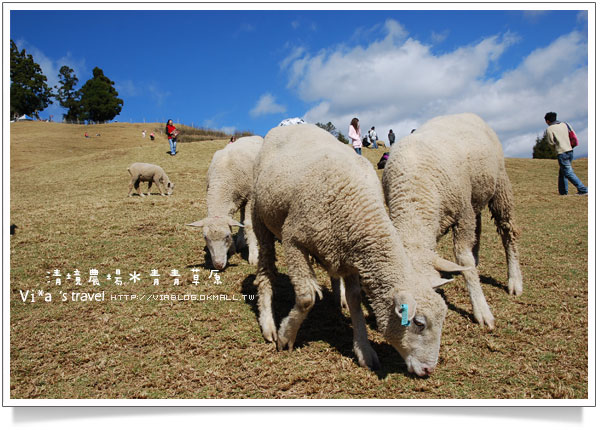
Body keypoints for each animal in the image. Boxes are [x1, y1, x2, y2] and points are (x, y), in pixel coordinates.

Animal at [188, 135, 262, 268]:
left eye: (227, 236)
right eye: (205, 237)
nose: (218, 264)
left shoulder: (250, 196)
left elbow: (249, 225)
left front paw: (254, 256)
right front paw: (232, 249)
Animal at [251, 122, 452, 374]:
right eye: (418, 323)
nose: (428, 370)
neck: (357, 206)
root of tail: (290, 125)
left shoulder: (352, 258)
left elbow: (356, 300)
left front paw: (364, 350)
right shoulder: (293, 239)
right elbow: (306, 297)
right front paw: (286, 336)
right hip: (260, 217)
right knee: (265, 270)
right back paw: (268, 324)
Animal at [382, 111, 524, 330]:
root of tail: (467, 113)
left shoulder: (462, 214)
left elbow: (463, 257)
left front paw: (481, 309)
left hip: (499, 186)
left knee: (508, 231)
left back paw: (514, 281)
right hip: (475, 197)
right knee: (478, 228)